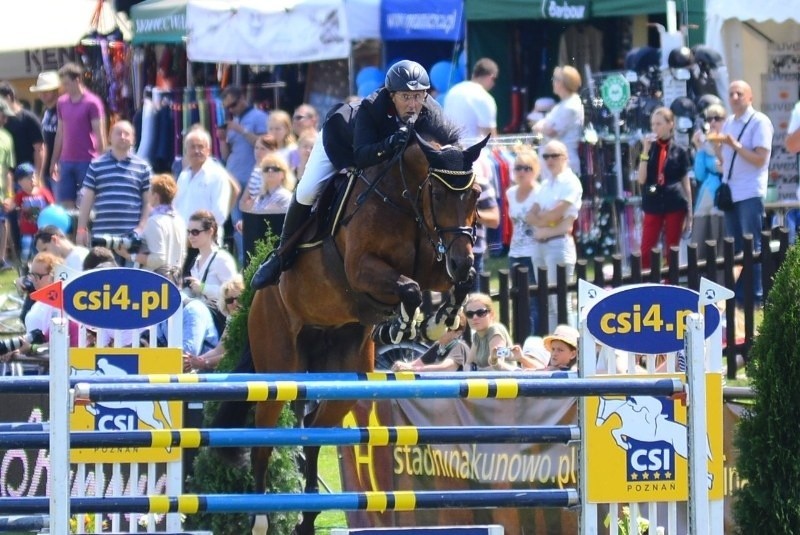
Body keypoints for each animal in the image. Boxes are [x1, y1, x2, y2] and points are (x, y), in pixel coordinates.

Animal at [236, 111, 488, 532]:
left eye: (476, 195)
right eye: (438, 195)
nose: (463, 258)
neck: (404, 199)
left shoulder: (434, 264)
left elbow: (453, 284)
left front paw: (438, 320)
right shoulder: (362, 270)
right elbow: (410, 290)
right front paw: (403, 324)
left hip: (345, 377)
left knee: (315, 431)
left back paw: (307, 517)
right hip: (278, 367)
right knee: (261, 441)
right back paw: (259, 518)